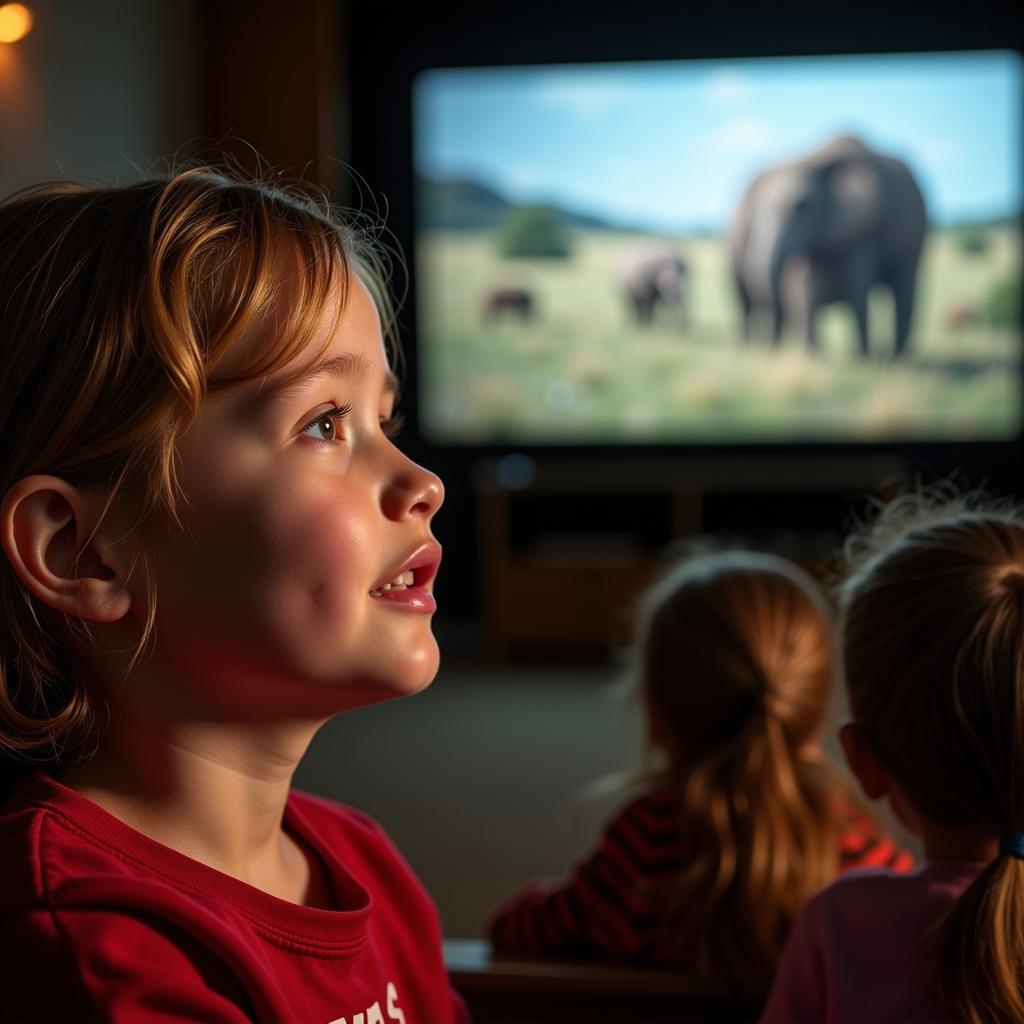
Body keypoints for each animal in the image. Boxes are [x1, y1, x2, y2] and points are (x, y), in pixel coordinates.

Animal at [729, 132, 929, 358]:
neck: (812, 161)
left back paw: (898, 358)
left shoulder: (862, 232)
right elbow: (806, 290)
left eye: (804, 207)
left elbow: (857, 291)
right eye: (753, 219)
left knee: (905, 287)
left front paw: (862, 358)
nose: (773, 349)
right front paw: (812, 356)